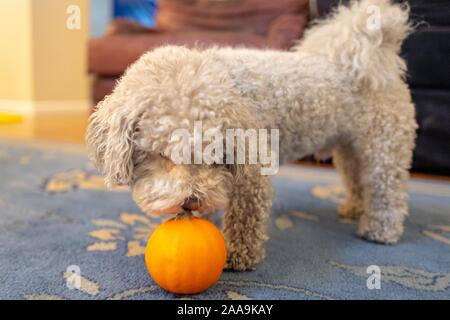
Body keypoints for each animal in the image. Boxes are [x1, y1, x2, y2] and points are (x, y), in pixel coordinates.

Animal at [87, 0, 418, 270]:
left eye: (214, 155)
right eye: (161, 156)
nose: (192, 202)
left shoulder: (253, 170)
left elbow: (245, 217)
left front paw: (238, 255)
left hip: (384, 146)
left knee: (386, 191)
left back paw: (379, 231)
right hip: (350, 148)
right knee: (358, 179)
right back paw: (355, 209)